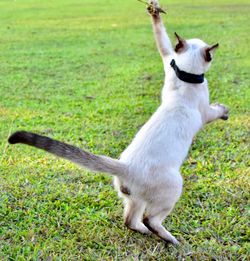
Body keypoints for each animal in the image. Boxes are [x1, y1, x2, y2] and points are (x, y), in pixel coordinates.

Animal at [7, 0, 229, 245]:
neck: (185, 75)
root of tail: (126, 167)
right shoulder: (204, 111)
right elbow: (216, 111)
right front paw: (225, 111)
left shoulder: (167, 59)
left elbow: (161, 38)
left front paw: (155, 12)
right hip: (173, 187)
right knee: (151, 219)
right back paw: (170, 239)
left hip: (135, 199)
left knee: (130, 220)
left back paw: (143, 231)